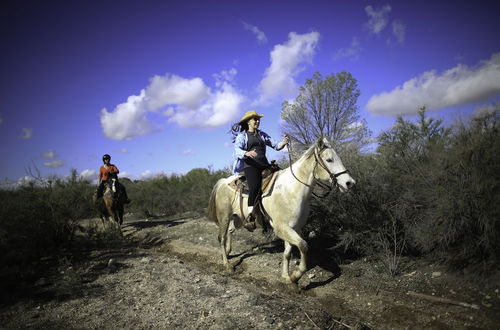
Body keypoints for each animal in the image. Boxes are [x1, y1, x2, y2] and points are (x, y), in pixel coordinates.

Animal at [207, 137, 356, 284]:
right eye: (329, 159)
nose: (350, 183)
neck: (291, 190)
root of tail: (224, 181)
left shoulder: (294, 228)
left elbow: (287, 253)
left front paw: (286, 277)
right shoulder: (281, 228)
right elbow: (303, 245)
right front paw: (296, 275)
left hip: (238, 219)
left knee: (230, 231)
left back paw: (228, 252)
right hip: (224, 217)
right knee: (221, 237)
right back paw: (227, 264)